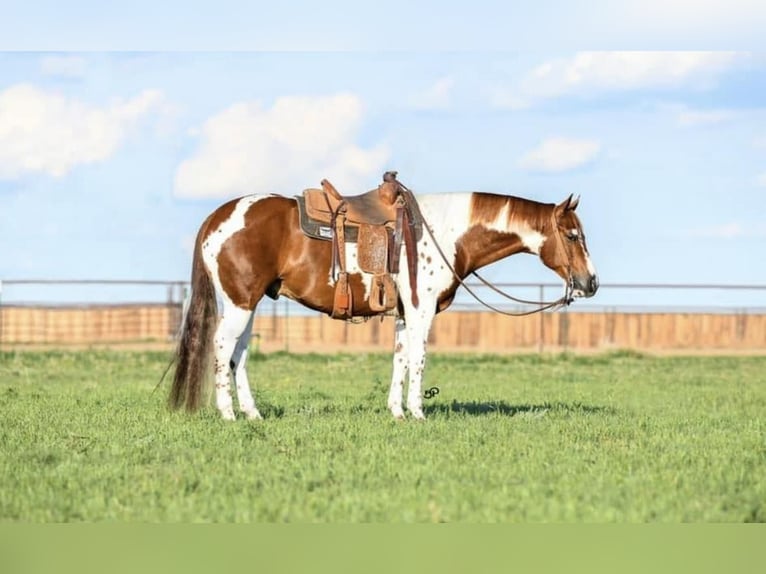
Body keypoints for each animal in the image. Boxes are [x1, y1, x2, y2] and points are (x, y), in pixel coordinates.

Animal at [168, 176, 600, 424]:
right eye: (573, 235)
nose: (591, 282)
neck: (442, 233)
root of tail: (217, 218)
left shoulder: (403, 313)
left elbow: (400, 359)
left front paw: (396, 411)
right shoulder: (422, 310)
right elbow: (419, 358)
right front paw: (418, 413)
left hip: (248, 303)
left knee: (239, 353)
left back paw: (253, 414)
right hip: (240, 302)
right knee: (222, 347)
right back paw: (228, 415)